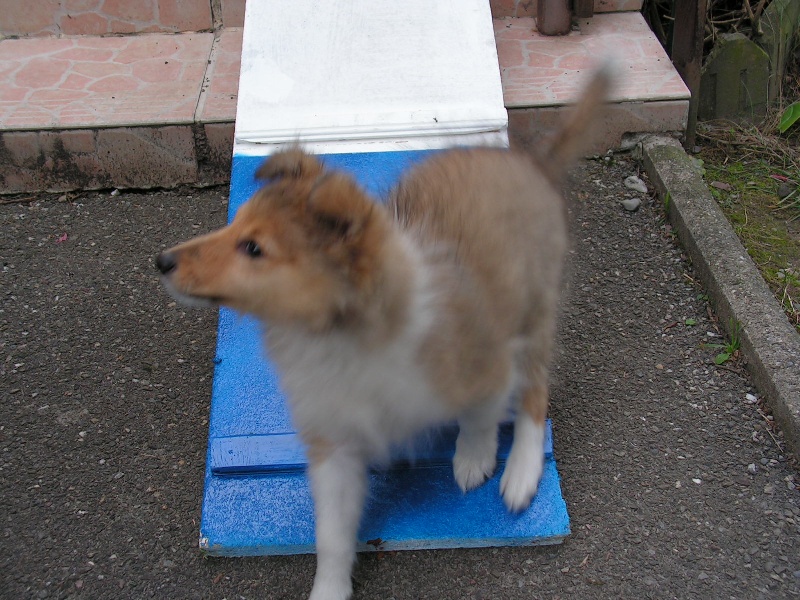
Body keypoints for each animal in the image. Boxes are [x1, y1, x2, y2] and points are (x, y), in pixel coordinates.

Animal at [156, 68, 612, 596]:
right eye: (237, 227)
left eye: (253, 248)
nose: (161, 261)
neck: (341, 336)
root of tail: (528, 162)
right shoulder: (335, 439)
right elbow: (332, 535)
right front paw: (329, 590)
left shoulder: (486, 361)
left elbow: (480, 414)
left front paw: (473, 458)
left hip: (534, 307)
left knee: (535, 391)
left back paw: (520, 473)